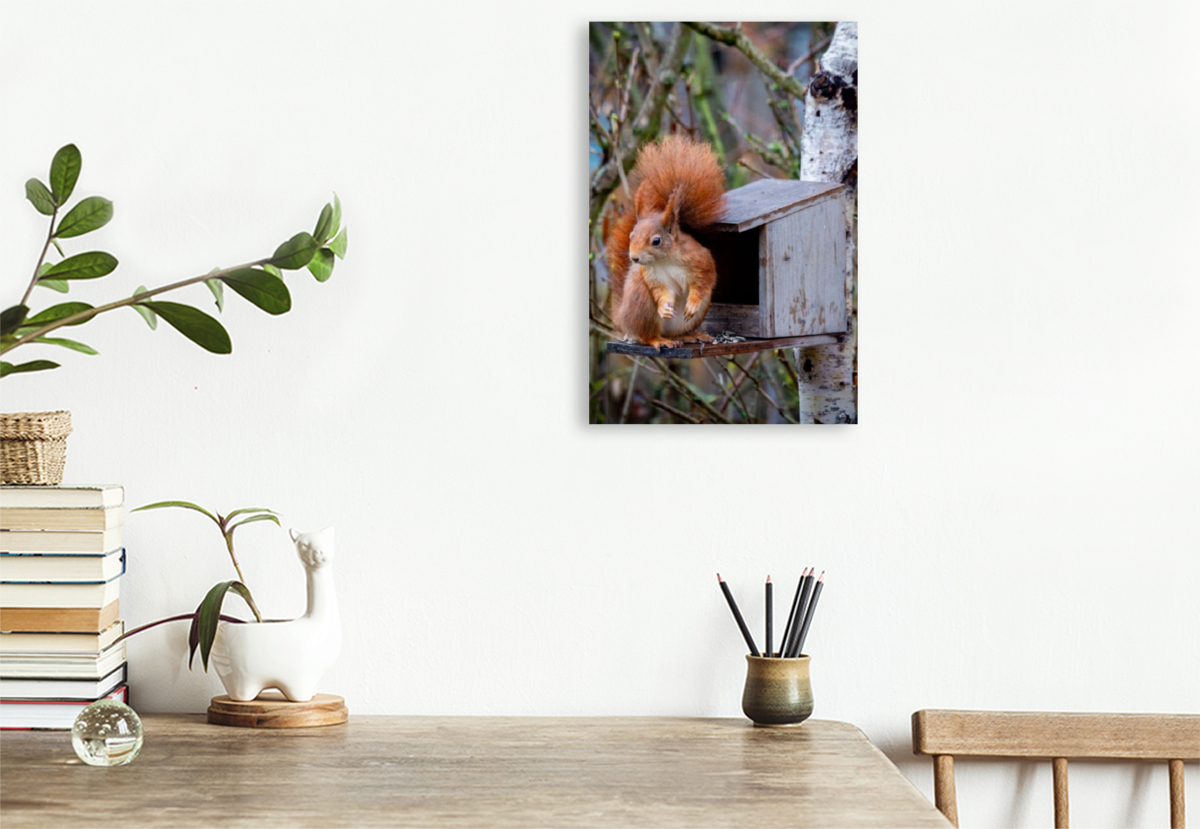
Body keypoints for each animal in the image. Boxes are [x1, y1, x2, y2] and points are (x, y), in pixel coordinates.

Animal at [607, 136, 726, 349]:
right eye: (631, 236)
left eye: (656, 240)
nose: (634, 258)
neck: (665, 260)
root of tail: (623, 319)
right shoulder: (653, 277)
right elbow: (662, 292)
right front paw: (664, 307)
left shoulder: (700, 260)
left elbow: (704, 281)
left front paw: (693, 302)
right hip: (643, 305)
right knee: (647, 336)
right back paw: (659, 340)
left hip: (694, 316)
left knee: (676, 333)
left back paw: (690, 336)